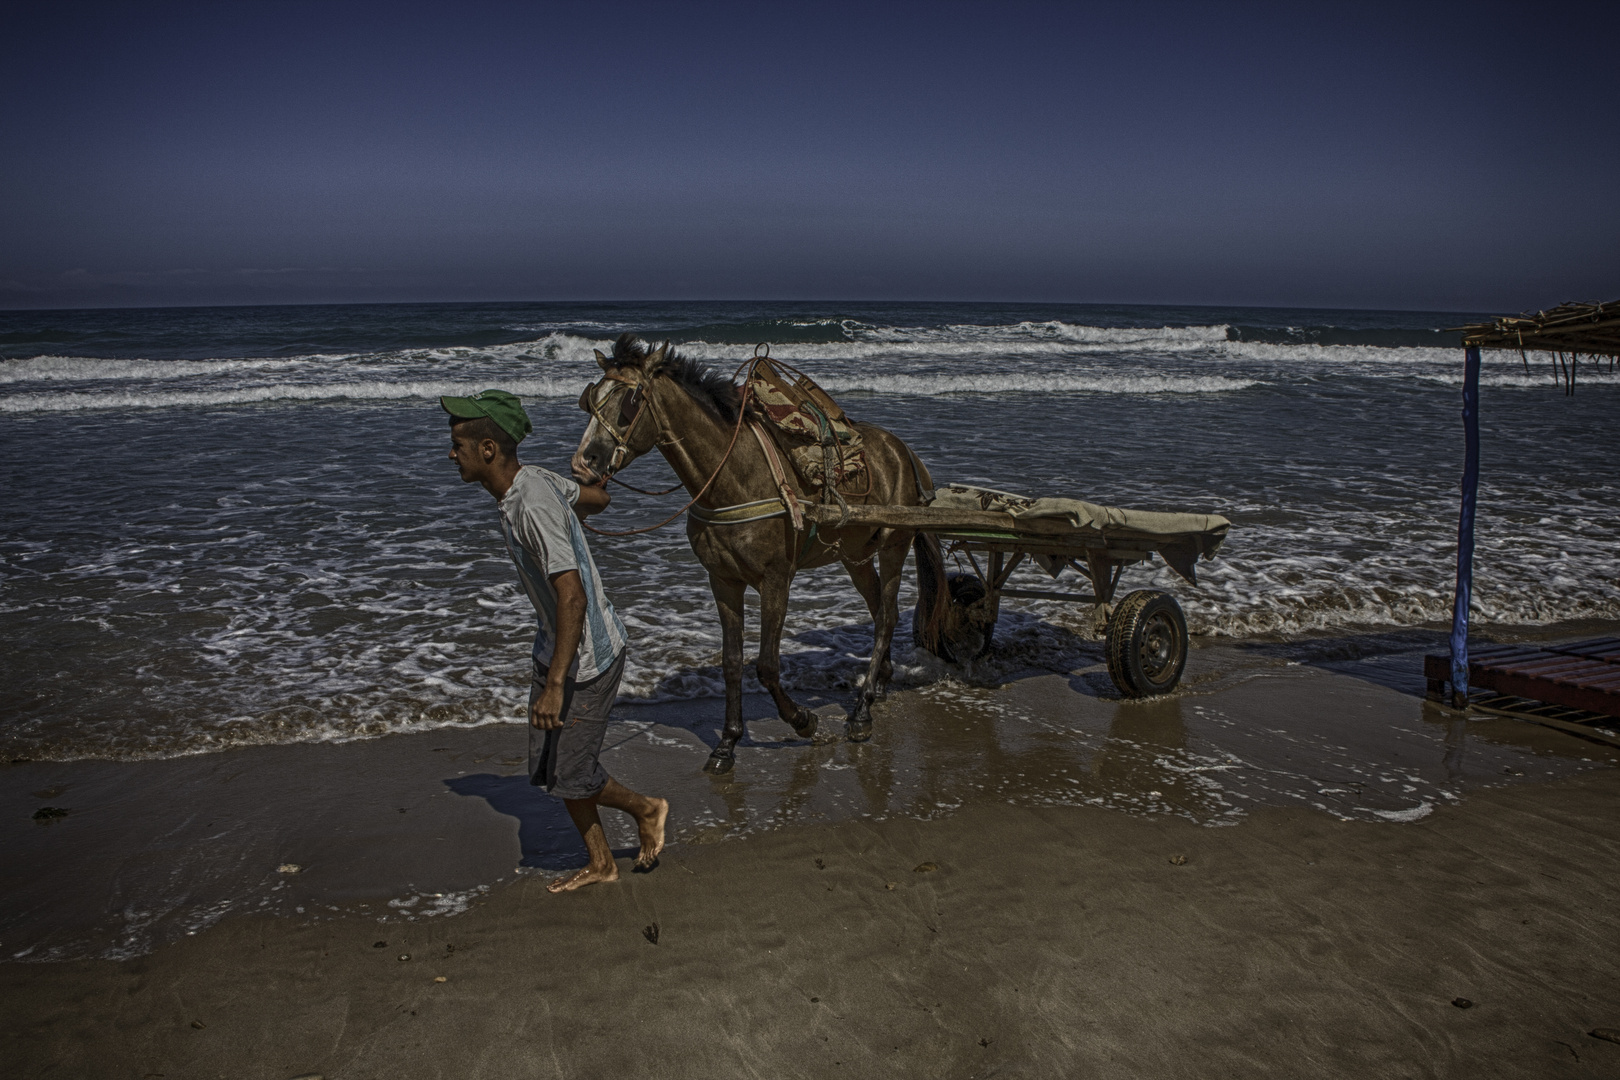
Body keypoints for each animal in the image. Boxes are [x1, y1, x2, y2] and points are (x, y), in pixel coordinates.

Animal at [573, 333, 946, 773]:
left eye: (629, 401)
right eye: (591, 399)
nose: (583, 463)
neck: (732, 476)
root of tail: (904, 451)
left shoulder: (775, 579)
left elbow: (766, 665)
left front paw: (804, 721)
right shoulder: (723, 580)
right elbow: (732, 662)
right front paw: (727, 744)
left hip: (892, 546)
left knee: (886, 618)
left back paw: (861, 713)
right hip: (854, 555)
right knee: (877, 612)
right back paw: (879, 684)